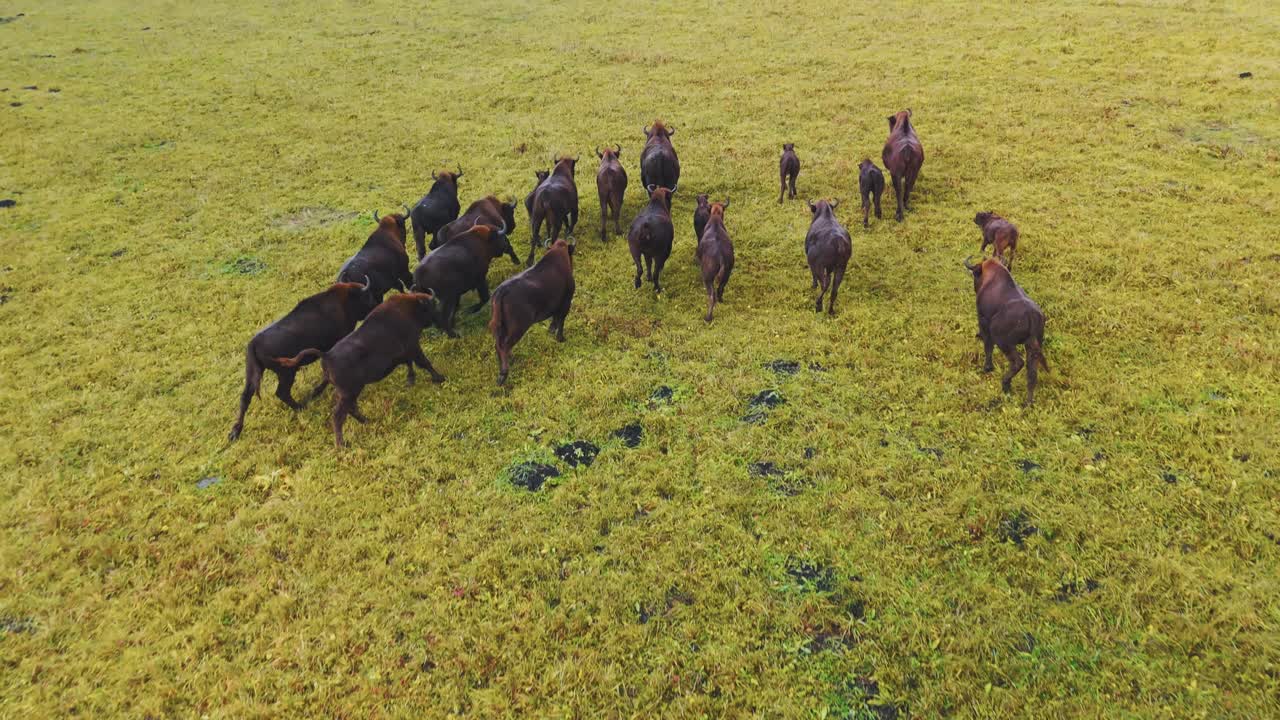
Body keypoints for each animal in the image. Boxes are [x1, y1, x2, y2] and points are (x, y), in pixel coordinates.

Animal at [228, 278, 378, 441]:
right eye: (367, 296)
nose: (377, 303)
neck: (343, 300)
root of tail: (254, 343)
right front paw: (316, 392)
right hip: (287, 373)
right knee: (281, 392)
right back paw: (301, 407)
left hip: (254, 373)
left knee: (245, 398)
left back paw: (235, 432)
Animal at [276, 291, 445, 448]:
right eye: (431, 305)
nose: (437, 319)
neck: (409, 307)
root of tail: (328, 355)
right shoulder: (413, 347)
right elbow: (424, 363)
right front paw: (439, 378)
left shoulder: (405, 353)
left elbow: (410, 364)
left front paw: (411, 380)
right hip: (350, 392)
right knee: (339, 415)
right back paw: (342, 444)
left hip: (350, 392)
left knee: (350, 409)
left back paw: (367, 421)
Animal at [490, 237, 576, 385]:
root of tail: (502, 291)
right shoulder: (566, 302)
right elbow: (561, 320)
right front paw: (560, 338)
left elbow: (554, 319)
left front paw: (551, 331)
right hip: (518, 328)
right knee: (504, 346)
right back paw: (503, 375)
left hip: (500, 327)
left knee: (499, 345)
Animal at [964, 256, 1047, 405]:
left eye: (975, 274)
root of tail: (1031, 314)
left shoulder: (983, 320)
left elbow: (988, 346)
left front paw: (987, 367)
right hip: (1032, 346)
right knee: (1031, 373)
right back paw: (1028, 403)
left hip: (1004, 342)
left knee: (1018, 362)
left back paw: (1006, 384)